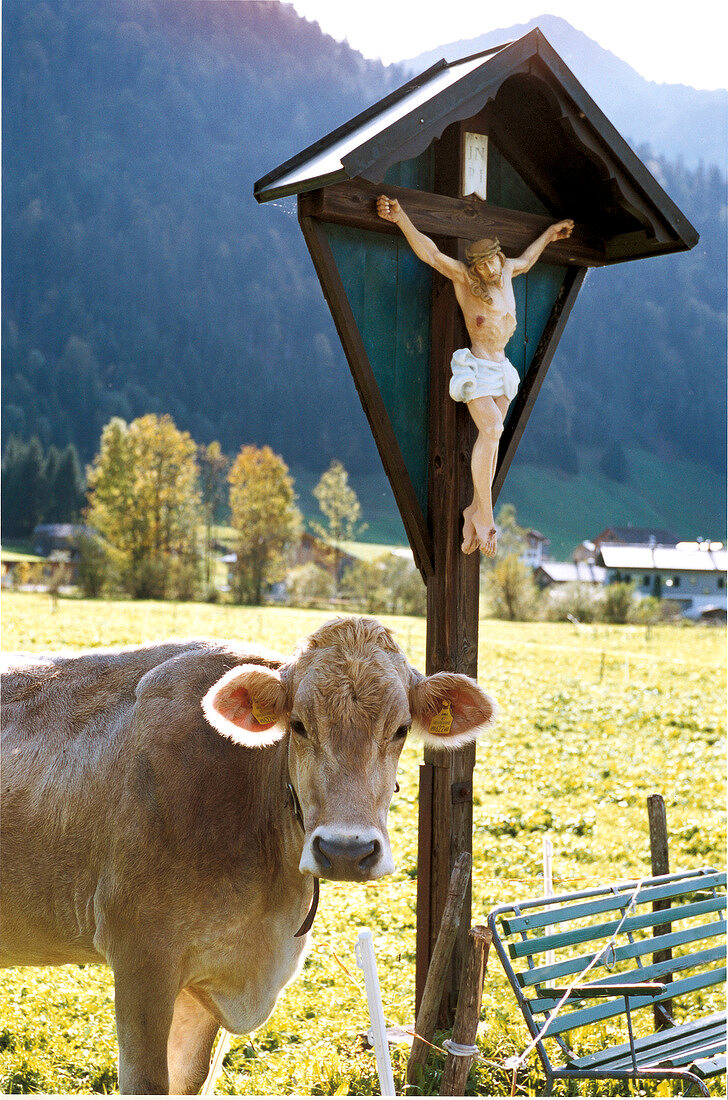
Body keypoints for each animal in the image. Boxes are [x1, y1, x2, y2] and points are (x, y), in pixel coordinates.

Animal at [1, 620, 497, 1091]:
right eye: (298, 725)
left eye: (400, 729)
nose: (345, 850)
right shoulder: (141, 955)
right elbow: (147, 1081)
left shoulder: (204, 980)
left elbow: (187, 1078)